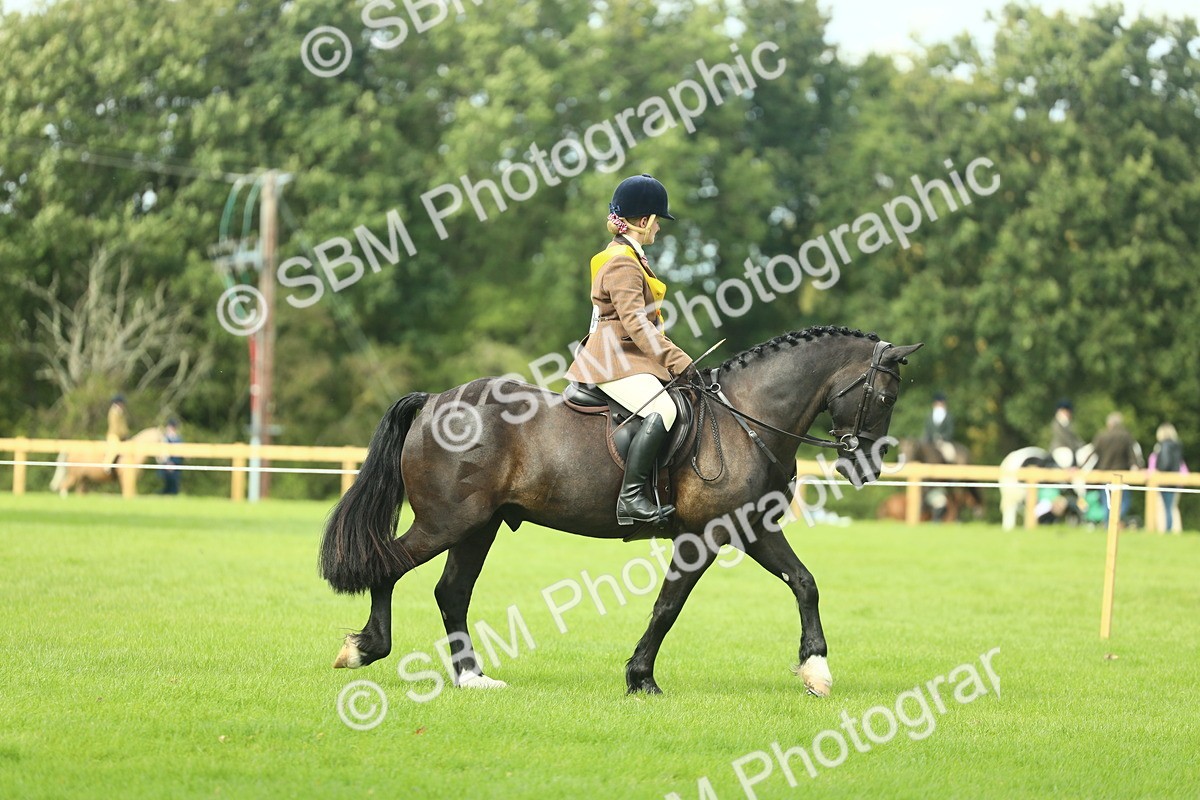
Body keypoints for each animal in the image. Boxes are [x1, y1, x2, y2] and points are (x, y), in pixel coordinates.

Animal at [320, 327, 923, 697]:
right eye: (887, 396)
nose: (868, 465)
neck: (747, 417)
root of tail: (434, 402)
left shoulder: (751, 527)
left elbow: (805, 582)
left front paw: (816, 670)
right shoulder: (706, 535)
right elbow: (667, 607)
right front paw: (641, 678)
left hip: (477, 527)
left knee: (451, 592)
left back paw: (472, 678)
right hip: (447, 522)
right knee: (388, 566)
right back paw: (364, 649)